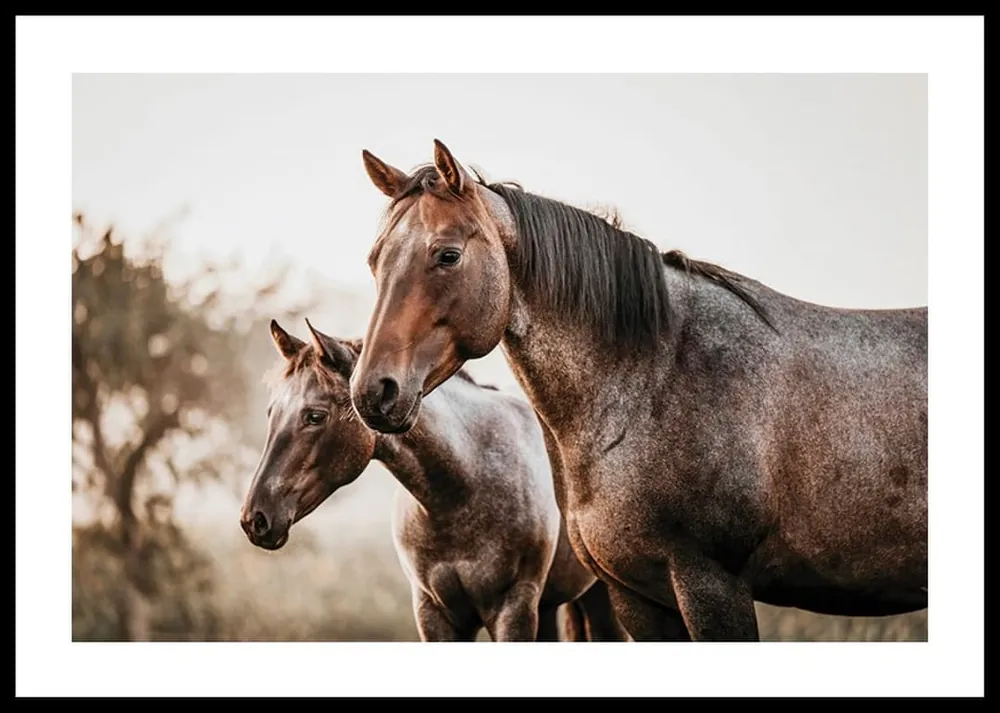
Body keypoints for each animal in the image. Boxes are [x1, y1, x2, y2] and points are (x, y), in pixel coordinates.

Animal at [239, 318, 628, 642]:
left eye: (315, 416)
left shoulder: (513, 608)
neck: (461, 491)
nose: (255, 519)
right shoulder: (434, 613)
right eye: (271, 412)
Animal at [348, 139, 928, 642]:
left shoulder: (712, 584)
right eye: (375, 260)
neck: (656, 378)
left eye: (447, 255)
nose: (373, 391)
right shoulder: (637, 595)